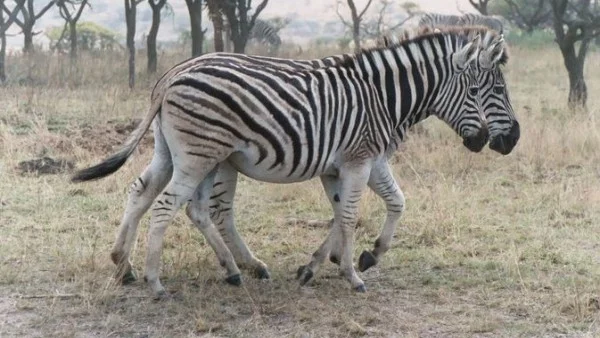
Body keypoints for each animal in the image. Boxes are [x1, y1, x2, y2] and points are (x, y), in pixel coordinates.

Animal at [71, 26, 502, 298]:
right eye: (483, 90)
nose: (495, 140)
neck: (382, 98)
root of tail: (170, 76)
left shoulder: (351, 163)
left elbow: (378, 206)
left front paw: (337, 262)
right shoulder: (358, 160)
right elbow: (350, 215)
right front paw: (352, 274)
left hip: (178, 152)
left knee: (147, 193)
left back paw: (128, 266)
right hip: (199, 155)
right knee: (170, 206)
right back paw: (156, 281)